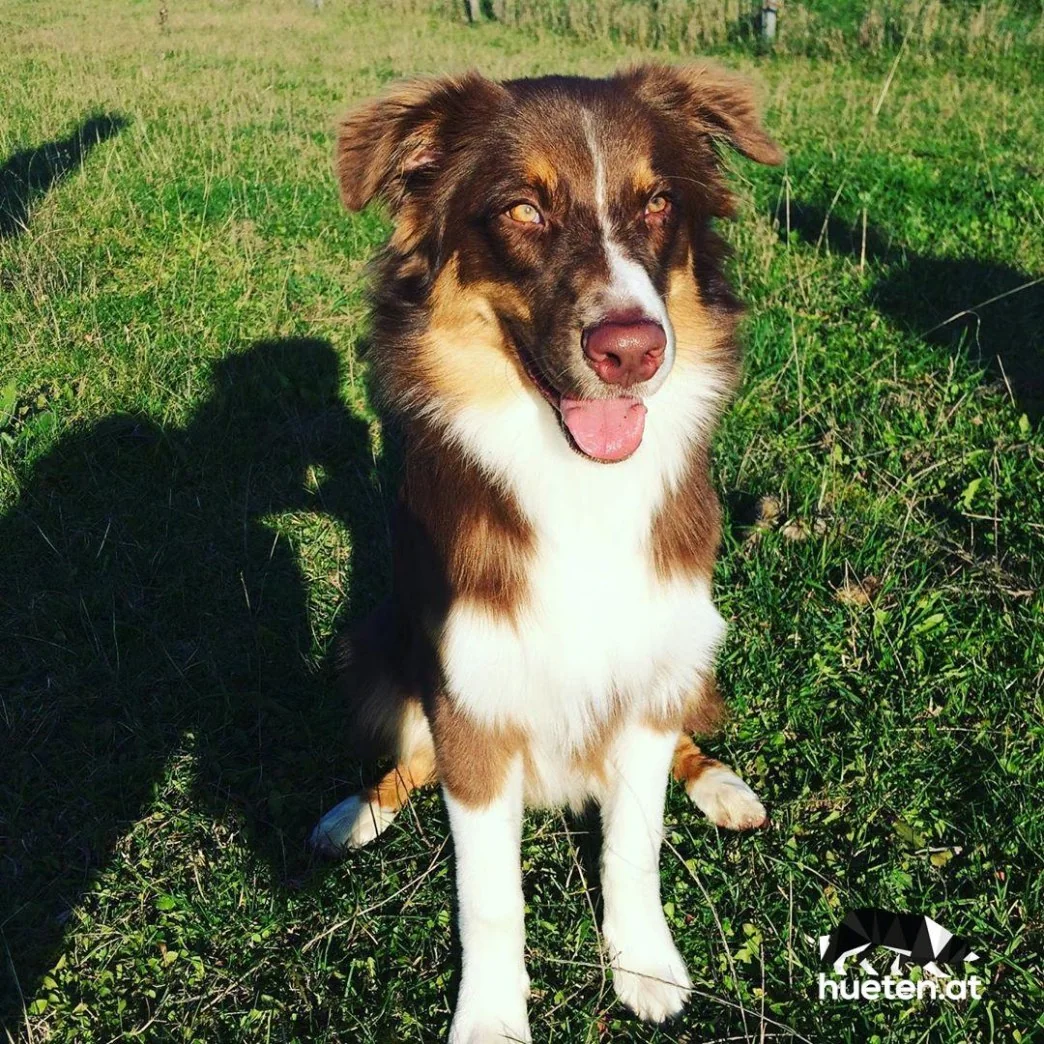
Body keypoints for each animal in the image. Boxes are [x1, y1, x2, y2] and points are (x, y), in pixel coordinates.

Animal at [310, 63, 782, 1042]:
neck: (579, 487)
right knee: (409, 752)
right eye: (523, 209)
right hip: (375, 644)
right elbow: (489, 896)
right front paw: (492, 1019)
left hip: (693, 648)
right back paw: (351, 815)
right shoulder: (471, 703)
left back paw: (721, 786)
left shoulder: (647, 679)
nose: (634, 350)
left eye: (658, 204)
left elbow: (634, 847)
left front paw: (644, 964)